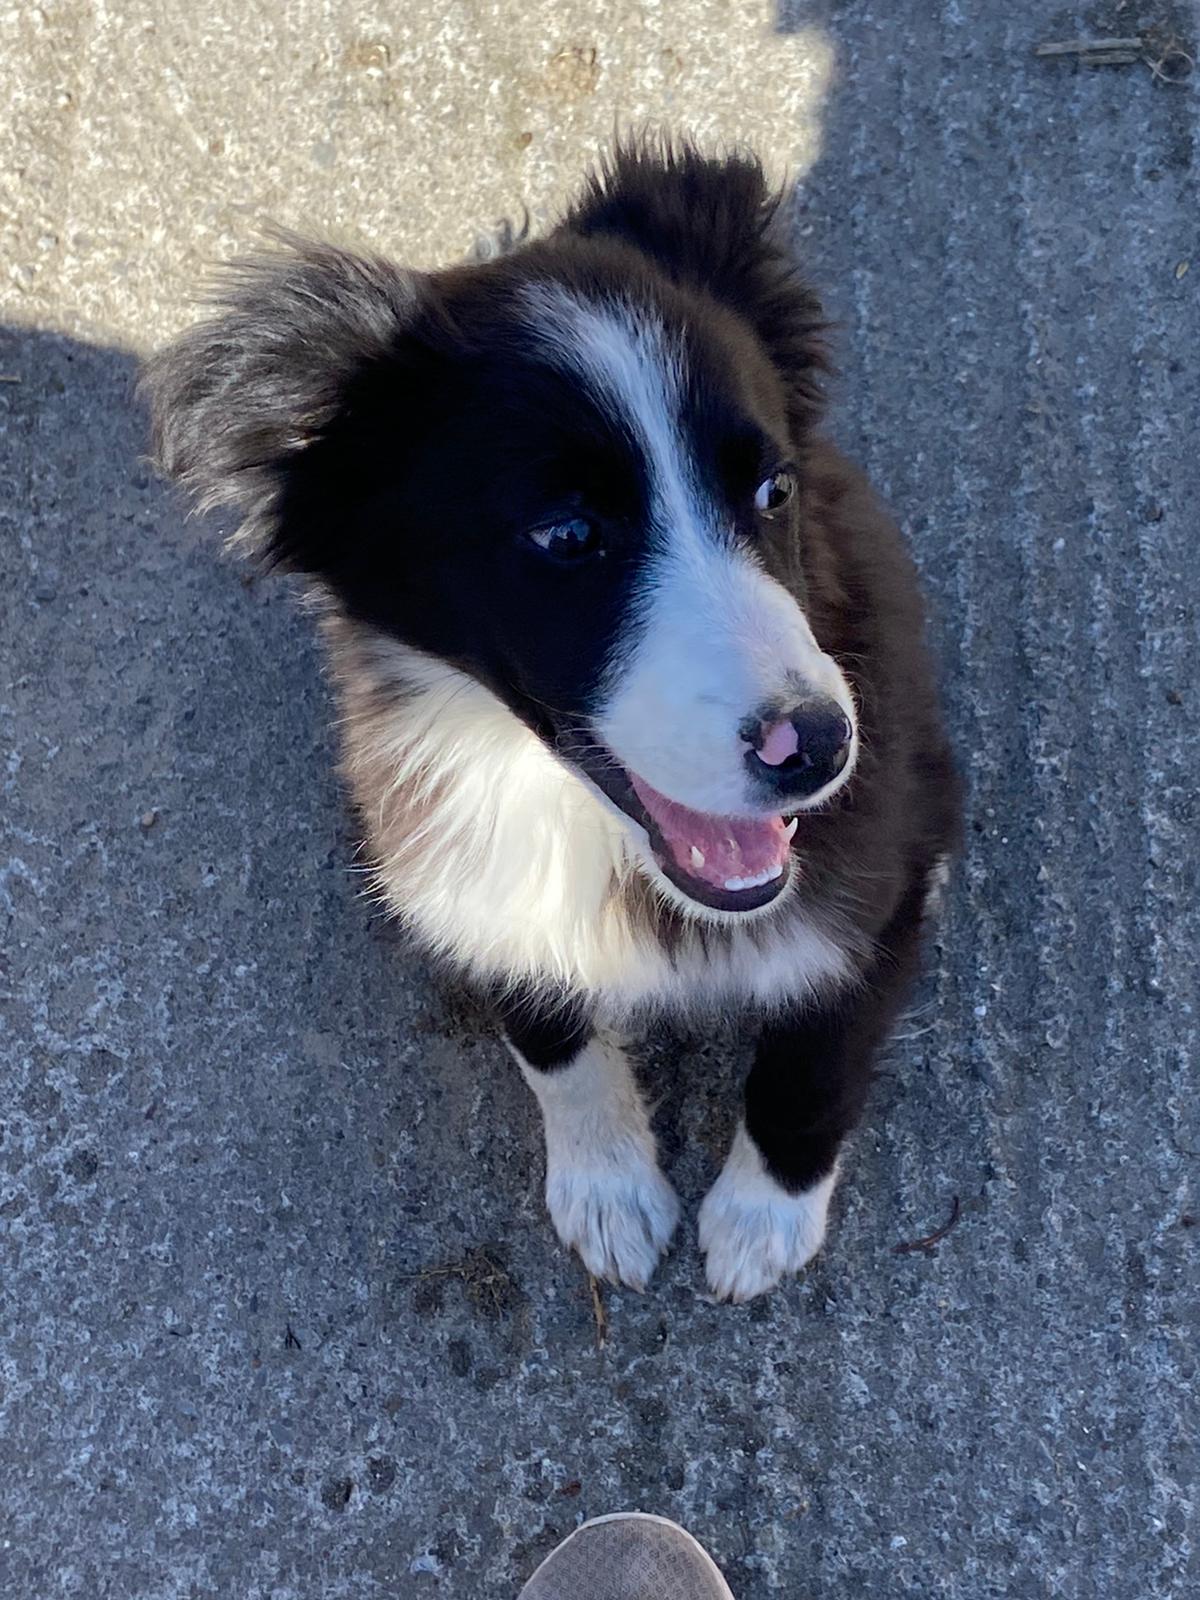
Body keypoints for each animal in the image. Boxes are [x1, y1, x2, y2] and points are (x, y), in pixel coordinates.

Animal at [145, 140, 966, 1299]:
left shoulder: (871, 871)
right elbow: (547, 1027)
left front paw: (762, 1215)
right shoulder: (452, 869)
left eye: (772, 491)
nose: (816, 748)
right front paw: (609, 1187)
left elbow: (815, 1056)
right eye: (569, 535)